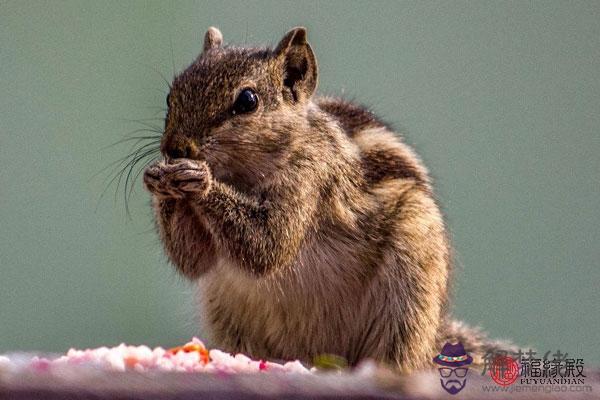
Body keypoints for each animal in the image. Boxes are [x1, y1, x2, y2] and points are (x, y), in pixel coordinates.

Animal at [143, 26, 508, 374]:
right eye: (171, 95)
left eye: (248, 100)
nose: (176, 148)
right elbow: (194, 260)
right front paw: (159, 180)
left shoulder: (312, 178)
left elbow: (267, 246)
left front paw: (199, 180)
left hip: (411, 287)